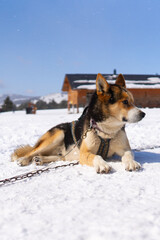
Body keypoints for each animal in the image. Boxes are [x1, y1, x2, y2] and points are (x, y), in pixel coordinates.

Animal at [11, 73, 146, 172]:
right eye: (125, 102)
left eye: (133, 101)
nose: (143, 114)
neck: (107, 131)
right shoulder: (84, 153)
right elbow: (96, 156)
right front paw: (102, 164)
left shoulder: (125, 148)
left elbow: (128, 154)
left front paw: (131, 162)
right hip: (57, 135)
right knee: (32, 151)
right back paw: (24, 159)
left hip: (62, 152)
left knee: (59, 156)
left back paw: (40, 159)